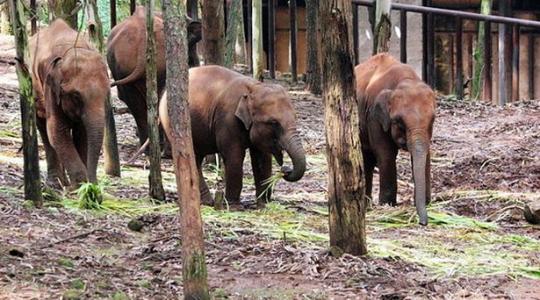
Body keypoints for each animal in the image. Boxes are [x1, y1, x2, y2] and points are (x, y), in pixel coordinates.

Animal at [29, 18, 110, 186]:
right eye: (76, 96)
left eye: (107, 94)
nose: (94, 183)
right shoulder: (49, 84)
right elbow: (56, 129)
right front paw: (81, 187)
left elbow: (82, 133)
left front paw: (85, 186)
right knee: (43, 127)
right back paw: (56, 183)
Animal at [158, 65, 306, 206]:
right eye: (274, 122)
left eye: (295, 117)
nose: (285, 169)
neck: (254, 88)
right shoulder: (227, 119)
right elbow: (234, 156)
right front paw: (235, 206)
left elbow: (262, 159)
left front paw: (263, 204)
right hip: (169, 121)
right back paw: (207, 202)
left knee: (196, 158)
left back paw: (206, 201)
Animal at [356, 53, 436, 225]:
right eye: (398, 122)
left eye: (433, 120)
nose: (423, 222)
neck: (405, 79)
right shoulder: (374, 117)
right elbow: (386, 154)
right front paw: (387, 204)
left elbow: (426, 153)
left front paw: (427, 202)